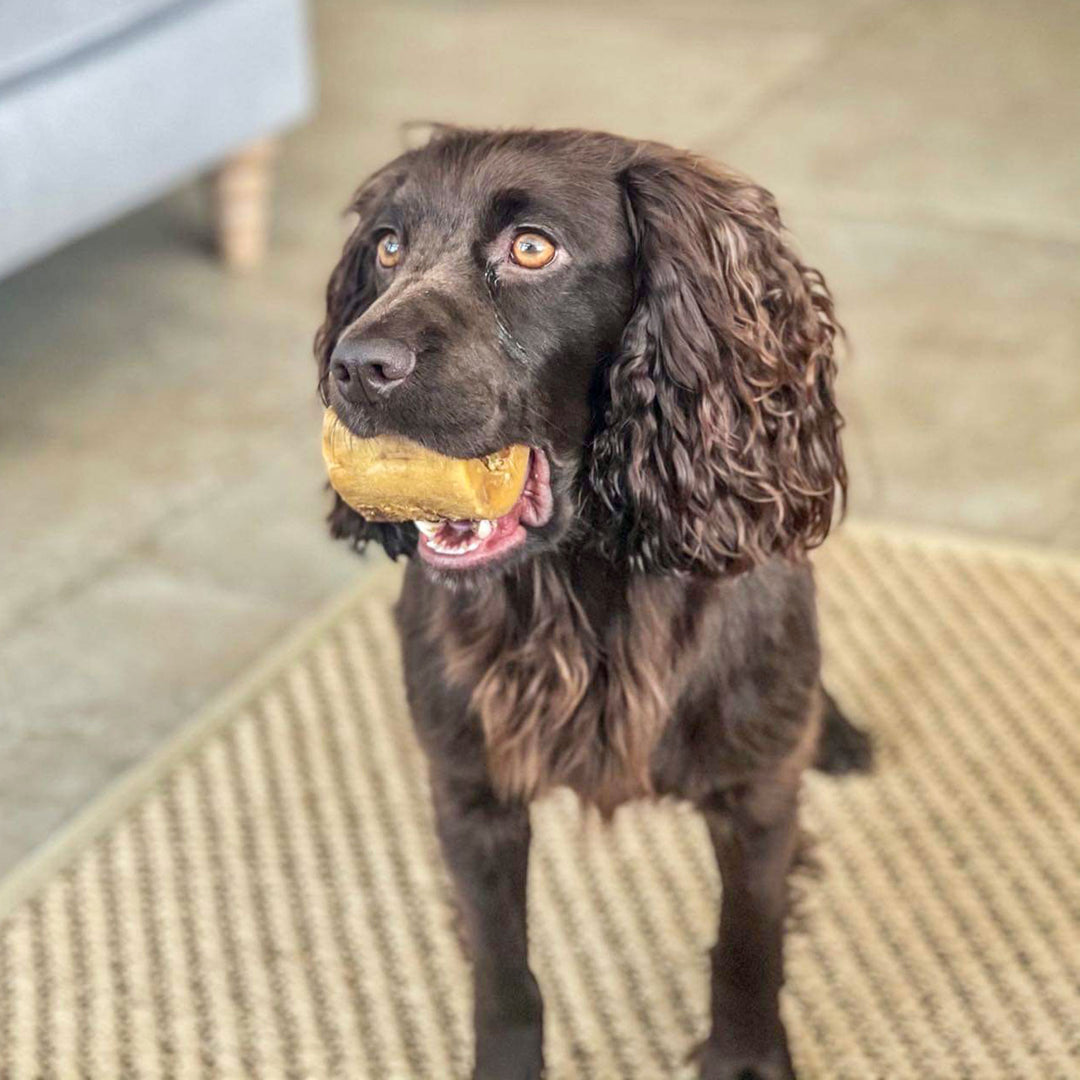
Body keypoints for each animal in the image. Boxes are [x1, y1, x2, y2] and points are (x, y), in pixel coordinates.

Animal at [315, 128, 872, 1080]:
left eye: (533, 248)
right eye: (387, 246)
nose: (354, 366)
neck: (581, 592)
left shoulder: (758, 795)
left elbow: (747, 941)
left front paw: (746, 1056)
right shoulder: (471, 790)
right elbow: (504, 970)